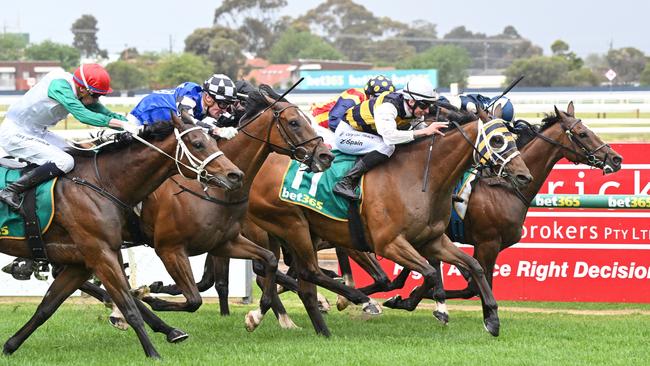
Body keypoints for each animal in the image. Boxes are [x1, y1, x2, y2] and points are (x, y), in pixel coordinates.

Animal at [0, 114, 243, 358]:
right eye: (198, 144)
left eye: (214, 140)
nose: (235, 175)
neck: (102, 182)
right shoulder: (103, 254)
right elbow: (129, 307)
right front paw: (153, 353)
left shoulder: (83, 261)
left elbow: (47, 307)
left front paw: (10, 345)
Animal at [244, 114, 532, 338]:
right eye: (496, 140)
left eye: (513, 137)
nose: (524, 176)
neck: (419, 178)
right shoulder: (390, 243)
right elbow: (429, 273)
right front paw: (408, 300)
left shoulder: (433, 240)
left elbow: (473, 266)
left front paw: (492, 319)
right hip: (291, 226)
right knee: (305, 272)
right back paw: (354, 301)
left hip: (299, 234)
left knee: (299, 280)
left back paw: (317, 326)